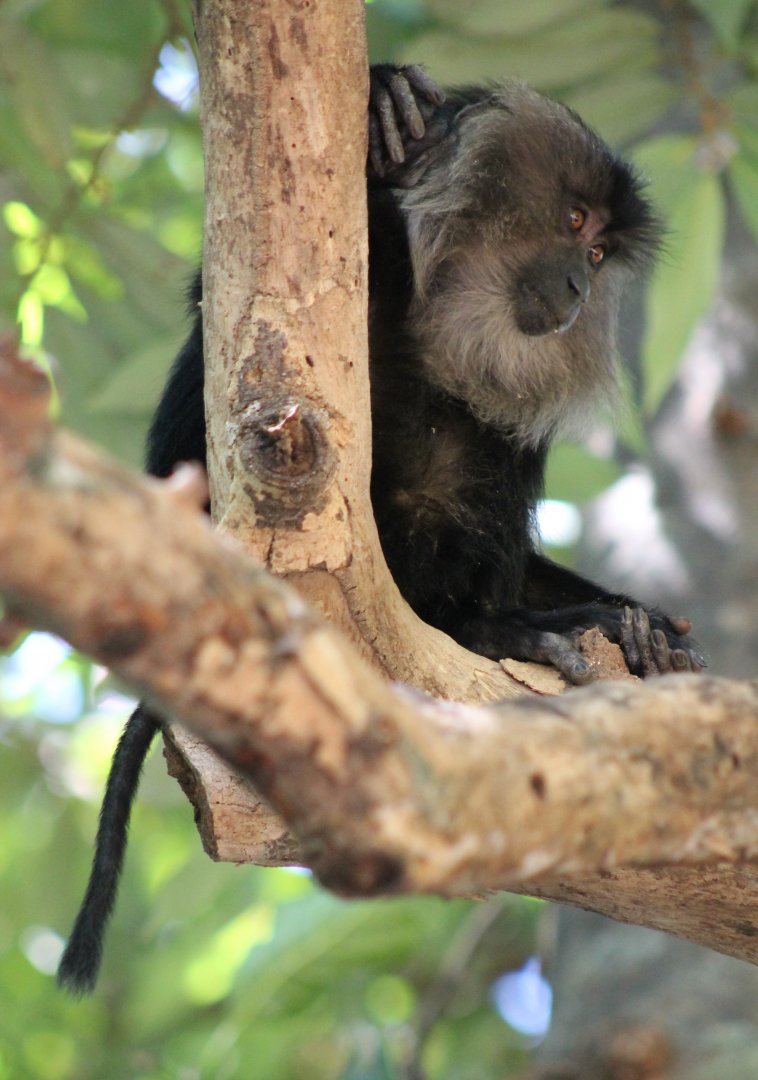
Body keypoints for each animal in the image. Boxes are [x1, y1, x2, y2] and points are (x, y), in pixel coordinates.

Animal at [57, 65, 704, 995]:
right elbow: (227, 320)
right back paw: (499, 629)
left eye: (595, 256)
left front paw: (640, 623)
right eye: (576, 223)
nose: (582, 289)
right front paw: (385, 109)